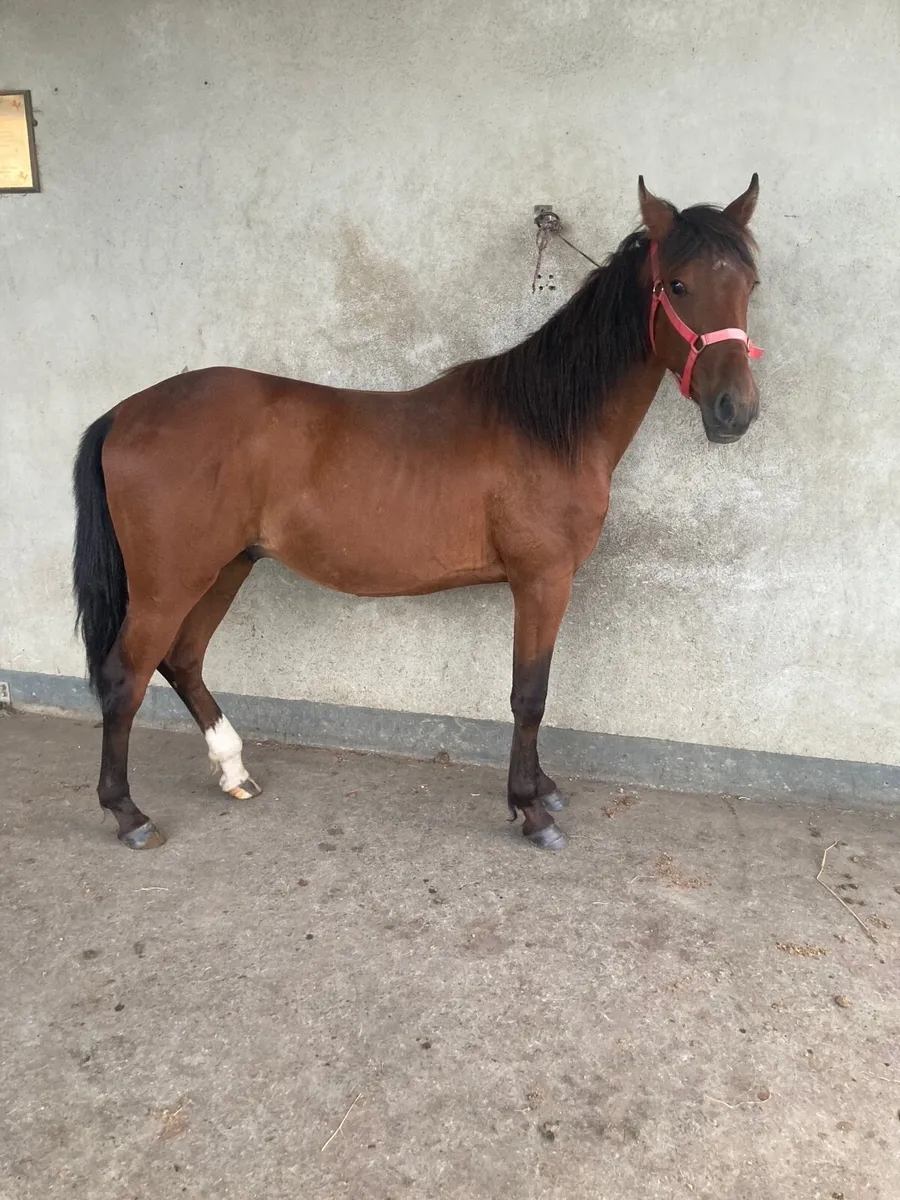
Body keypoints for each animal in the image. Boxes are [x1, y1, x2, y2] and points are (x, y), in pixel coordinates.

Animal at [72, 176, 763, 853]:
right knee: (125, 677)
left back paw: (233, 770)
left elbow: (534, 691)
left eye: (749, 285)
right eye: (679, 284)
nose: (735, 411)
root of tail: (125, 414)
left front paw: (541, 787)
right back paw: (128, 814)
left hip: (227, 566)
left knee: (183, 659)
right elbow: (530, 694)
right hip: (169, 584)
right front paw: (530, 809)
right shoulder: (543, 580)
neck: (546, 424)